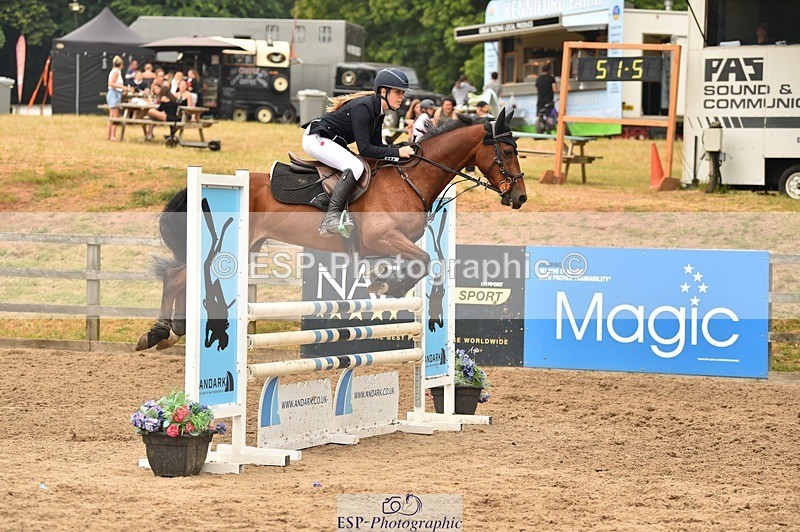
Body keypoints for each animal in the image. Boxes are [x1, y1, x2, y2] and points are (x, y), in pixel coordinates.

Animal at [136, 108, 527, 351]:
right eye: (507, 151)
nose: (520, 197)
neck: (410, 178)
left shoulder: (387, 245)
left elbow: (423, 264)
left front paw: (386, 283)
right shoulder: (383, 237)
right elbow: (426, 261)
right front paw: (390, 286)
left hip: (247, 247)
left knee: (184, 277)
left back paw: (174, 331)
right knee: (176, 276)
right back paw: (158, 333)